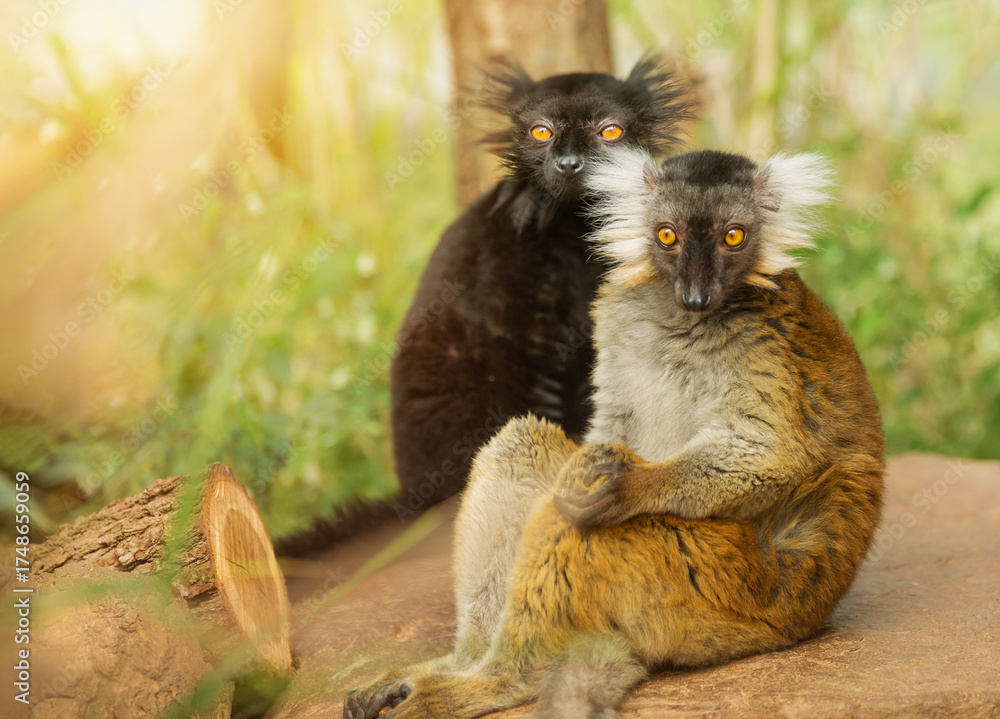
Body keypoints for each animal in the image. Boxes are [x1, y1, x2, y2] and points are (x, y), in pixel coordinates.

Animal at [342, 147, 885, 719]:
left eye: (732, 237)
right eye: (667, 235)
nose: (696, 295)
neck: (679, 318)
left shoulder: (762, 340)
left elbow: (770, 454)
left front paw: (626, 485)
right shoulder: (618, 319)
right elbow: (611, 426)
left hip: (713, 586)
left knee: (574, 525)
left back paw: (498, 681)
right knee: (522, 448)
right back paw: (454, 669)